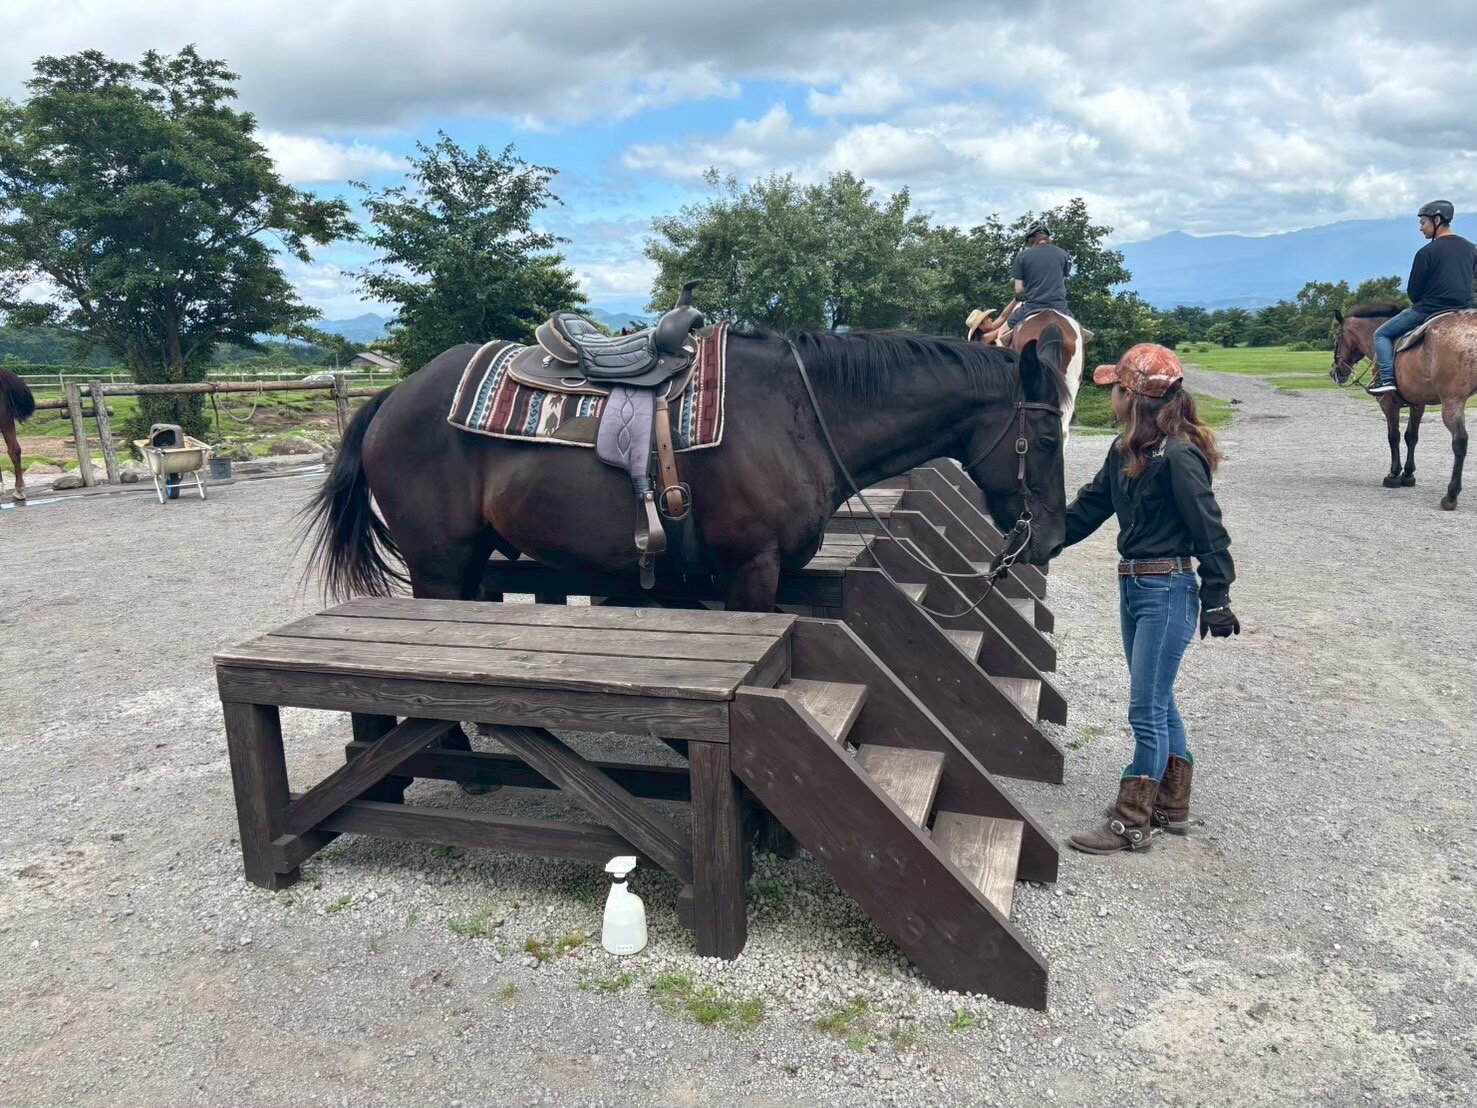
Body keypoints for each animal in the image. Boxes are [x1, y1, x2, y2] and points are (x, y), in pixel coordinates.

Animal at [304, 327, 1070, 612]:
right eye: (1045, 436)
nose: (1051, 539)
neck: (798, 412)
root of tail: (394, 396)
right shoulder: (750, 569)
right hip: (436, 562)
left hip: (468, 558)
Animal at [1330, 301, 1476, 510]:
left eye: (1337, 338)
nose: (1335, 372)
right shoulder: (1418, 404)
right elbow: (1411, 437)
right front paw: (1408, 474)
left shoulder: (1388, 403)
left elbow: (1394, 437)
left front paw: (1393, 474)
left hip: (1452, 402)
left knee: (1460, 442)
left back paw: (1451, 495)